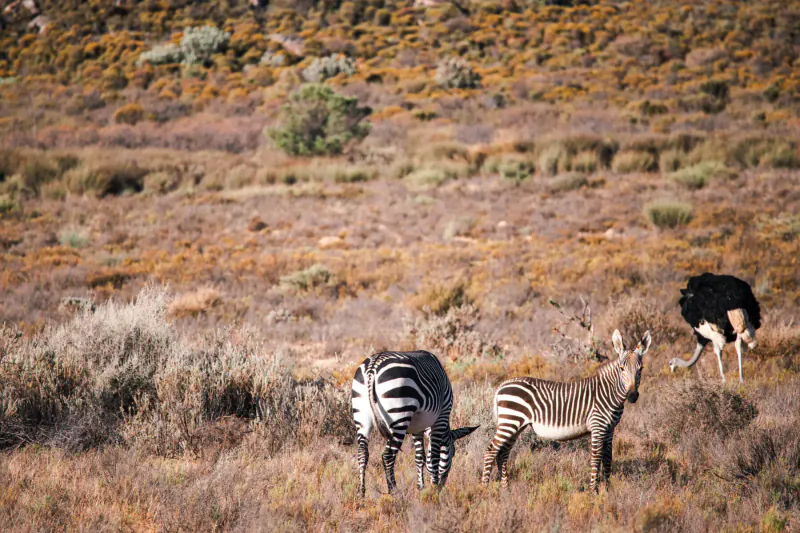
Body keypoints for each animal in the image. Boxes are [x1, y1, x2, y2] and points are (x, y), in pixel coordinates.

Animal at [351, 350, 479, 497]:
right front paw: (433, 489)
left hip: (362, 417)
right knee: (388, 455)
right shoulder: (441, 418)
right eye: (453, 453)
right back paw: (394, 491)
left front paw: (421, 487)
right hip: (399, 415)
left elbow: (420, 456)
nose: (442, 485)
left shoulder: (417, 427)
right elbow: (433, 457)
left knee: (362, 453)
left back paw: (361, 493)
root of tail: (373, 367)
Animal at [482, 330, 651, 492]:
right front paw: (593, 491)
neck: (608, 393)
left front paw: (608, 490)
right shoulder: (598, 426)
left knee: (503, 453)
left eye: (641, 369)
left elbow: (608, 457)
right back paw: (485, 489)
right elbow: (596, 457)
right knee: (491, 450)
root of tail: (502, 385)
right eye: (622, 369)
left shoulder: (610, 429)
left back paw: (506, 490)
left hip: (515, 425)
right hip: (510, 422)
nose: (632, 396)